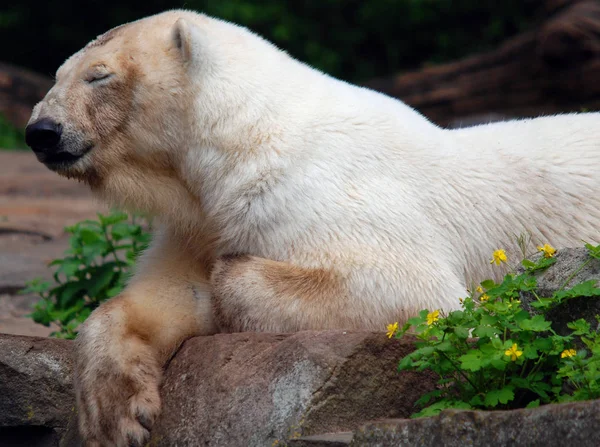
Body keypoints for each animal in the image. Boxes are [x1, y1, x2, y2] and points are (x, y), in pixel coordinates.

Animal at [27, 9, 600, 447]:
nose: (41, 131)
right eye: (59, 73)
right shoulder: (200, 221)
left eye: (98, 76)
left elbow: (417, 292)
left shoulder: (323, 190)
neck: (243, 141)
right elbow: (166, 294)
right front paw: (117, 416)